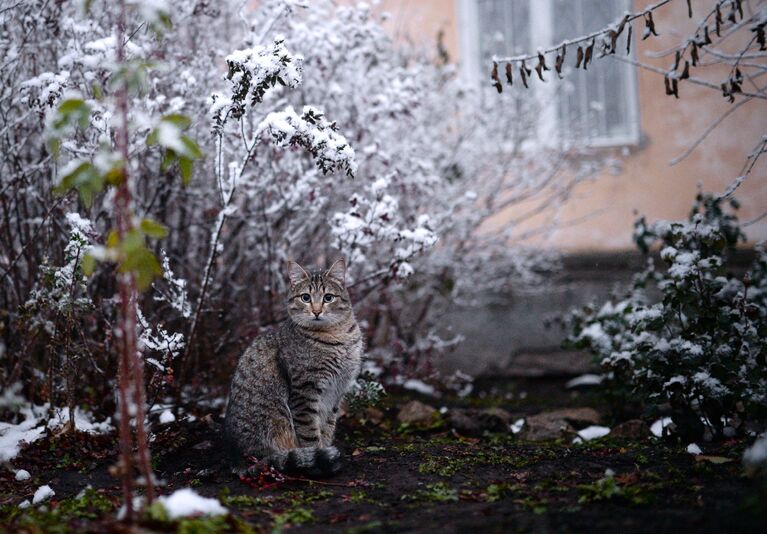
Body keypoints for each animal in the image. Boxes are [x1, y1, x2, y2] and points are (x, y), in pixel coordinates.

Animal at [224, 258, 364, 478]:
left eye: (328, 297)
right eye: (305, 297)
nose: (316, 311)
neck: (337, 336)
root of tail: (238, 458)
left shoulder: (336, 393)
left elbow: (327, 428)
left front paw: (326, 451)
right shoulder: (304, 392)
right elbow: (310, 435)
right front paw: (319, 459)